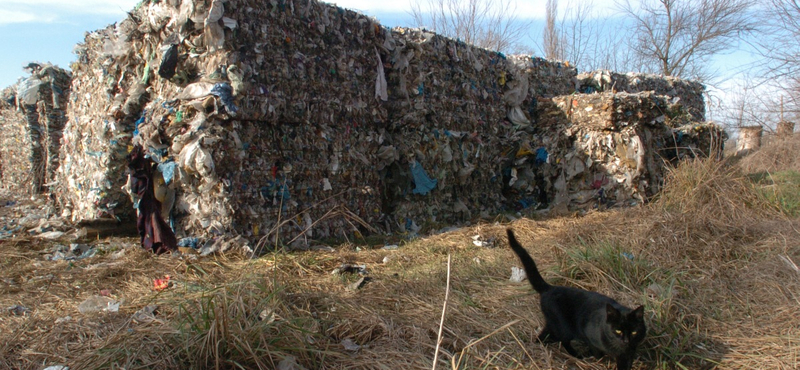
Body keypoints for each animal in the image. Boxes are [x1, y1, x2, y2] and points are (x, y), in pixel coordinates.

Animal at [510, 228, 648, 370]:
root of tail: (550, 288)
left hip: (553, 324)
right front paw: (597, 360)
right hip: (563, 327)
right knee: (563, 340)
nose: (625, 340)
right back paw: (576, 355)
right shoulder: (589, 336)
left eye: (634, 332)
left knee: (542, 336)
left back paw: (541, 345)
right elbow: (598, 352)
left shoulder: (628, 353)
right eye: (618, 330)